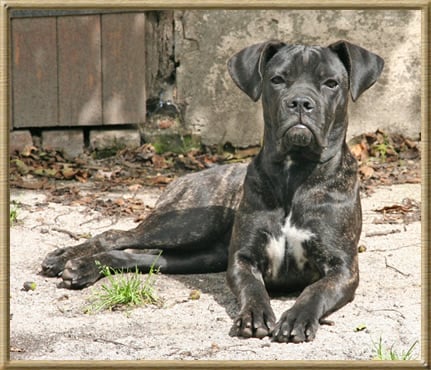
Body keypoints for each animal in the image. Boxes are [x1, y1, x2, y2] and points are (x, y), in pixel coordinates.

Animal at [41, 39, 384, 342]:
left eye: (331, 83)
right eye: (277, 79)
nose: (300, 102)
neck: (295, 173)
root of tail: (187, 177)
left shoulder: (342, 268)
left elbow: (315, 290)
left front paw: (297, 318)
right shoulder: (243, 259)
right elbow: (254, 290)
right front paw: (255, 316)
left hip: (198, 254)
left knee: (138, 255)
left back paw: (83, 267)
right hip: (187, 225)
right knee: (117, 235)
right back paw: (66, 259)